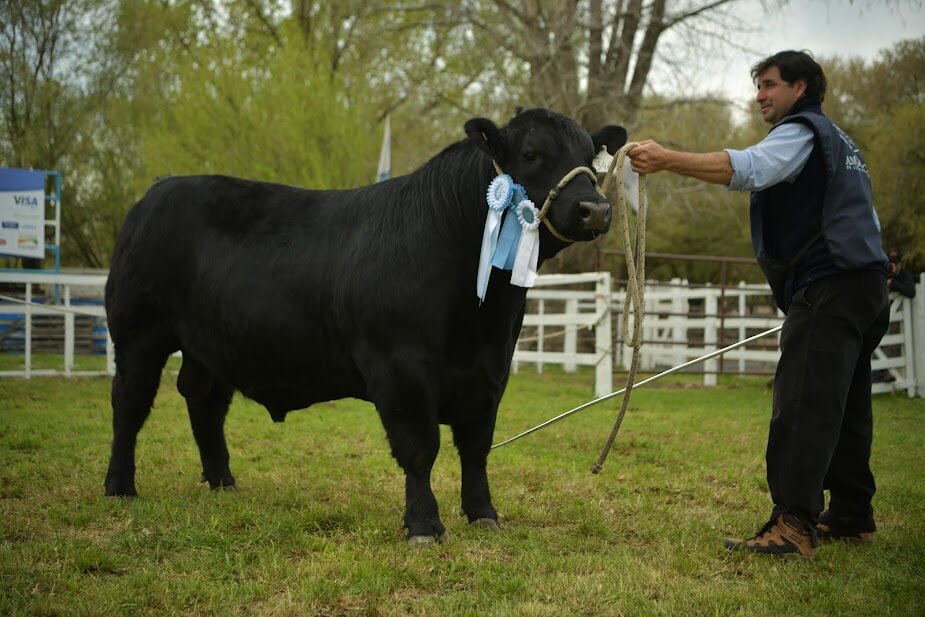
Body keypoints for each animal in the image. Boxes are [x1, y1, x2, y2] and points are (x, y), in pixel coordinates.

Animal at [104, 108, 624, 540]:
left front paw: (484, 516)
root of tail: (158, 191)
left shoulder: (491, 370)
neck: (480, 315)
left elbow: (476, 447)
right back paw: (120, 487)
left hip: (210, 345)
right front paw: (424, 525)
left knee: (205, 404)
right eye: (531, 154)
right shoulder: (401, 367)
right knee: (129, 406)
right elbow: (420, 447)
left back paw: (223, 483)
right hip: (138, 334)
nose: (595, 209)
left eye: (591, 161)